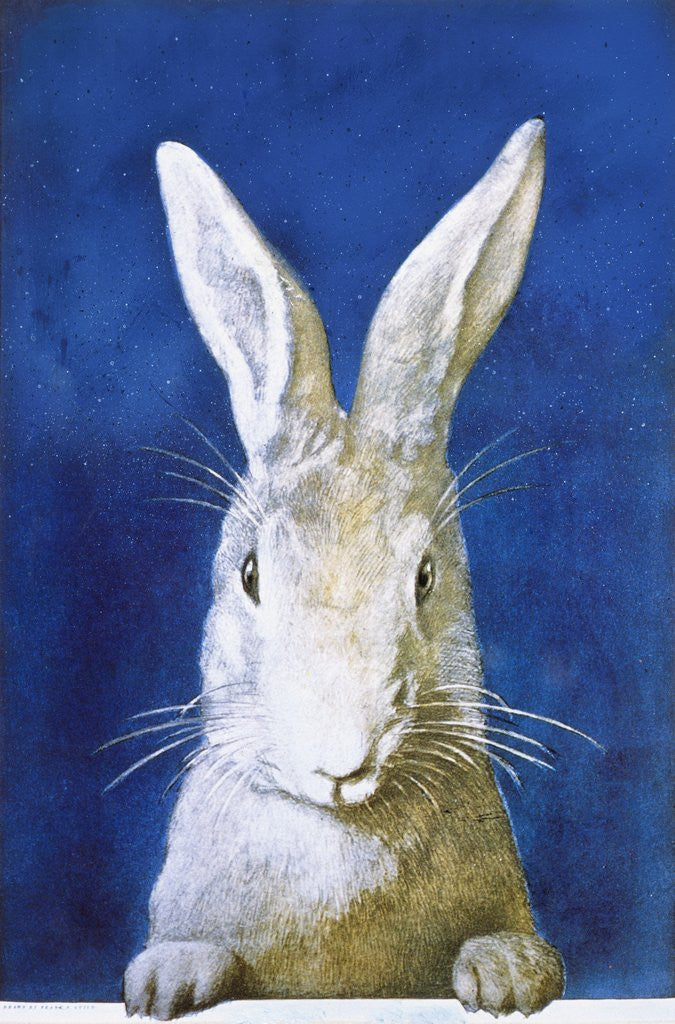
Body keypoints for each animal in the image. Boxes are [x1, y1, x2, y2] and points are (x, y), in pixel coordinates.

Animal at [123, 117, 568, 1019]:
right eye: (251, 574)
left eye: (425, 577)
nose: (339, 760)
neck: (337, 830)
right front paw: (163, 979)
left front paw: (506, 973)